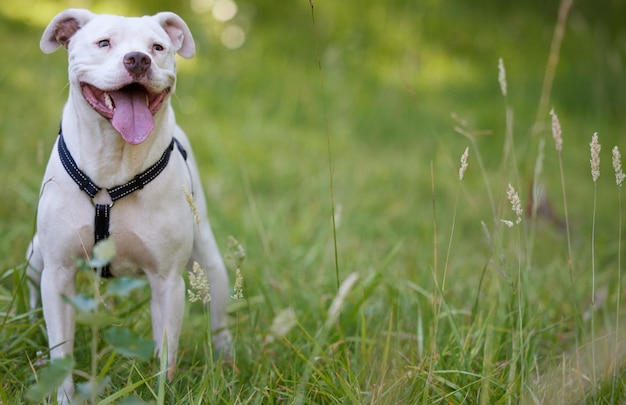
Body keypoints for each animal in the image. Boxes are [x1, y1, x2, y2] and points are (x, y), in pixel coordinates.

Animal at [26, 8, 230, 400]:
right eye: (104, 42)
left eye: (158, 47)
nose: (138, 59)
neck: (114, 164)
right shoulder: (57, 272)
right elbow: (62, 350)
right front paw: (64, 396)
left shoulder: (167, 282)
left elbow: (166, 351)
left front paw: (161, 392)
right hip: (35, 258)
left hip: (209, 260)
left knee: (219, 309)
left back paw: (226, 359)